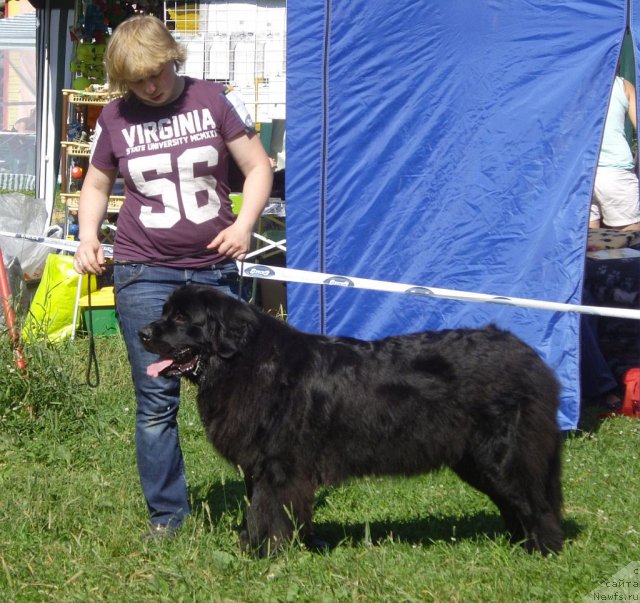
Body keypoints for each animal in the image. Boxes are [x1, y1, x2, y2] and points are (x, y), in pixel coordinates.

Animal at [138, 286, 564, 560]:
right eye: (165, 311)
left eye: (182, 318)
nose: (143, 332)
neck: (245, 362)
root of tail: (529, 355)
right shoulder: (261, 465)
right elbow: (262, 508)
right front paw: (263, 547)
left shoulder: (280, 466)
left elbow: (269, 510)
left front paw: (266, 554)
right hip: (475, 460)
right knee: (514, 502)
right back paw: (516, 544)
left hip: (503, 454)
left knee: (536, 503)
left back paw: (542, 551)